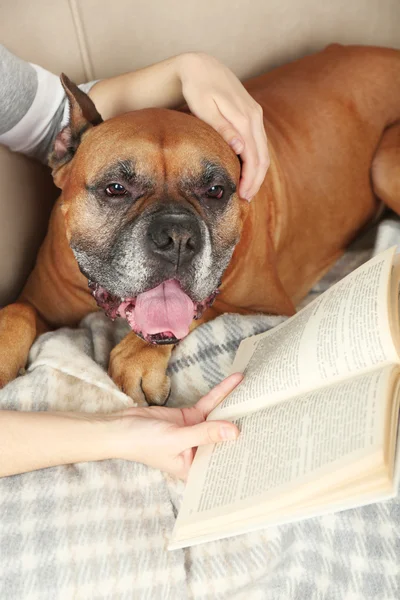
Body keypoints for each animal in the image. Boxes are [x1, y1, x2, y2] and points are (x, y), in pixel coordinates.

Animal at [0, 44, 400, 406]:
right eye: (115, 188)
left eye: (215, 191)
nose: (177, 237)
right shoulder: (39, 303)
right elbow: (17, 311)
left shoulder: (265, 306)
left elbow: (202, 310)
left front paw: (136, 357)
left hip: (384, 167)